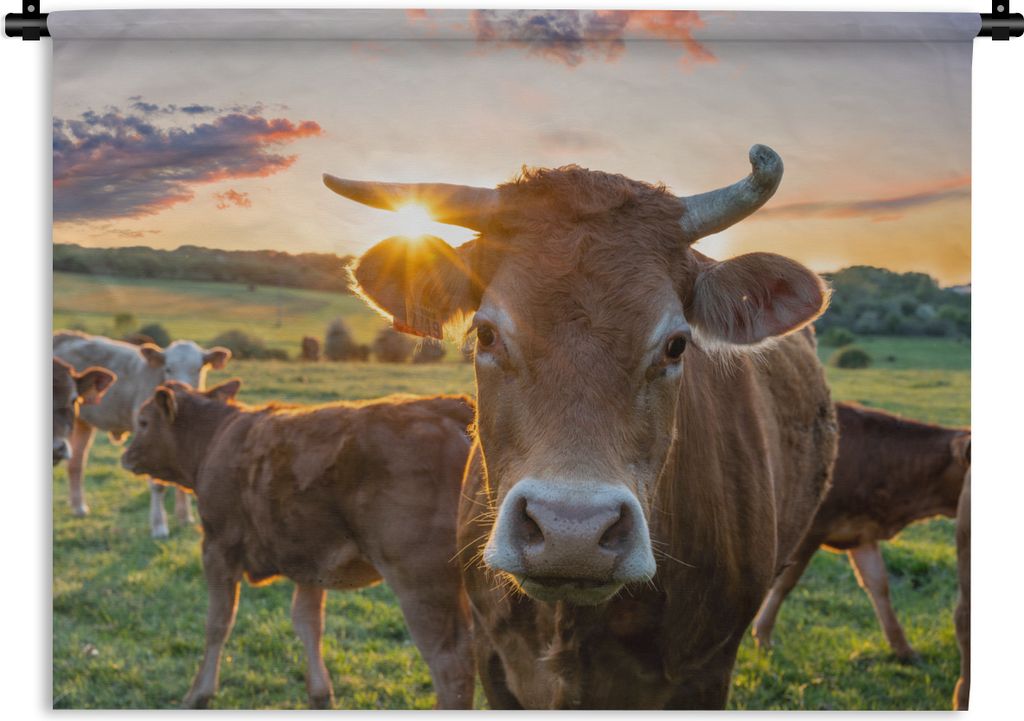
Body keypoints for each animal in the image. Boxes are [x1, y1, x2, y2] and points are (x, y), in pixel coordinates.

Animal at [53, 331, 230, 537]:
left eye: (199, 369)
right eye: (168, 369)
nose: (183, 391)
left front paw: (185, 518)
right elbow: (158, 484)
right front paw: (159, 526)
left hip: (83, 423)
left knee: (76, 464)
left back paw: (79, 507)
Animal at [120, 380, 476, 709]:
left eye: (143, 421)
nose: (125, 454)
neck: (215, 439)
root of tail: (448, 407)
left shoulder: (218, 547)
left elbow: (218, 622)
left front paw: (198, 694)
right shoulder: (310, 558)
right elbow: (308, 623)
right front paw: (319, 694)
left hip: (422, 584)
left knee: (452, 667)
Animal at [751, 402, 971, 662]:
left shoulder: (861, 533)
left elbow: (879, 585)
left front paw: (903, 649)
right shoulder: (811, 530)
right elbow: (785, 582)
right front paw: (763, 635)